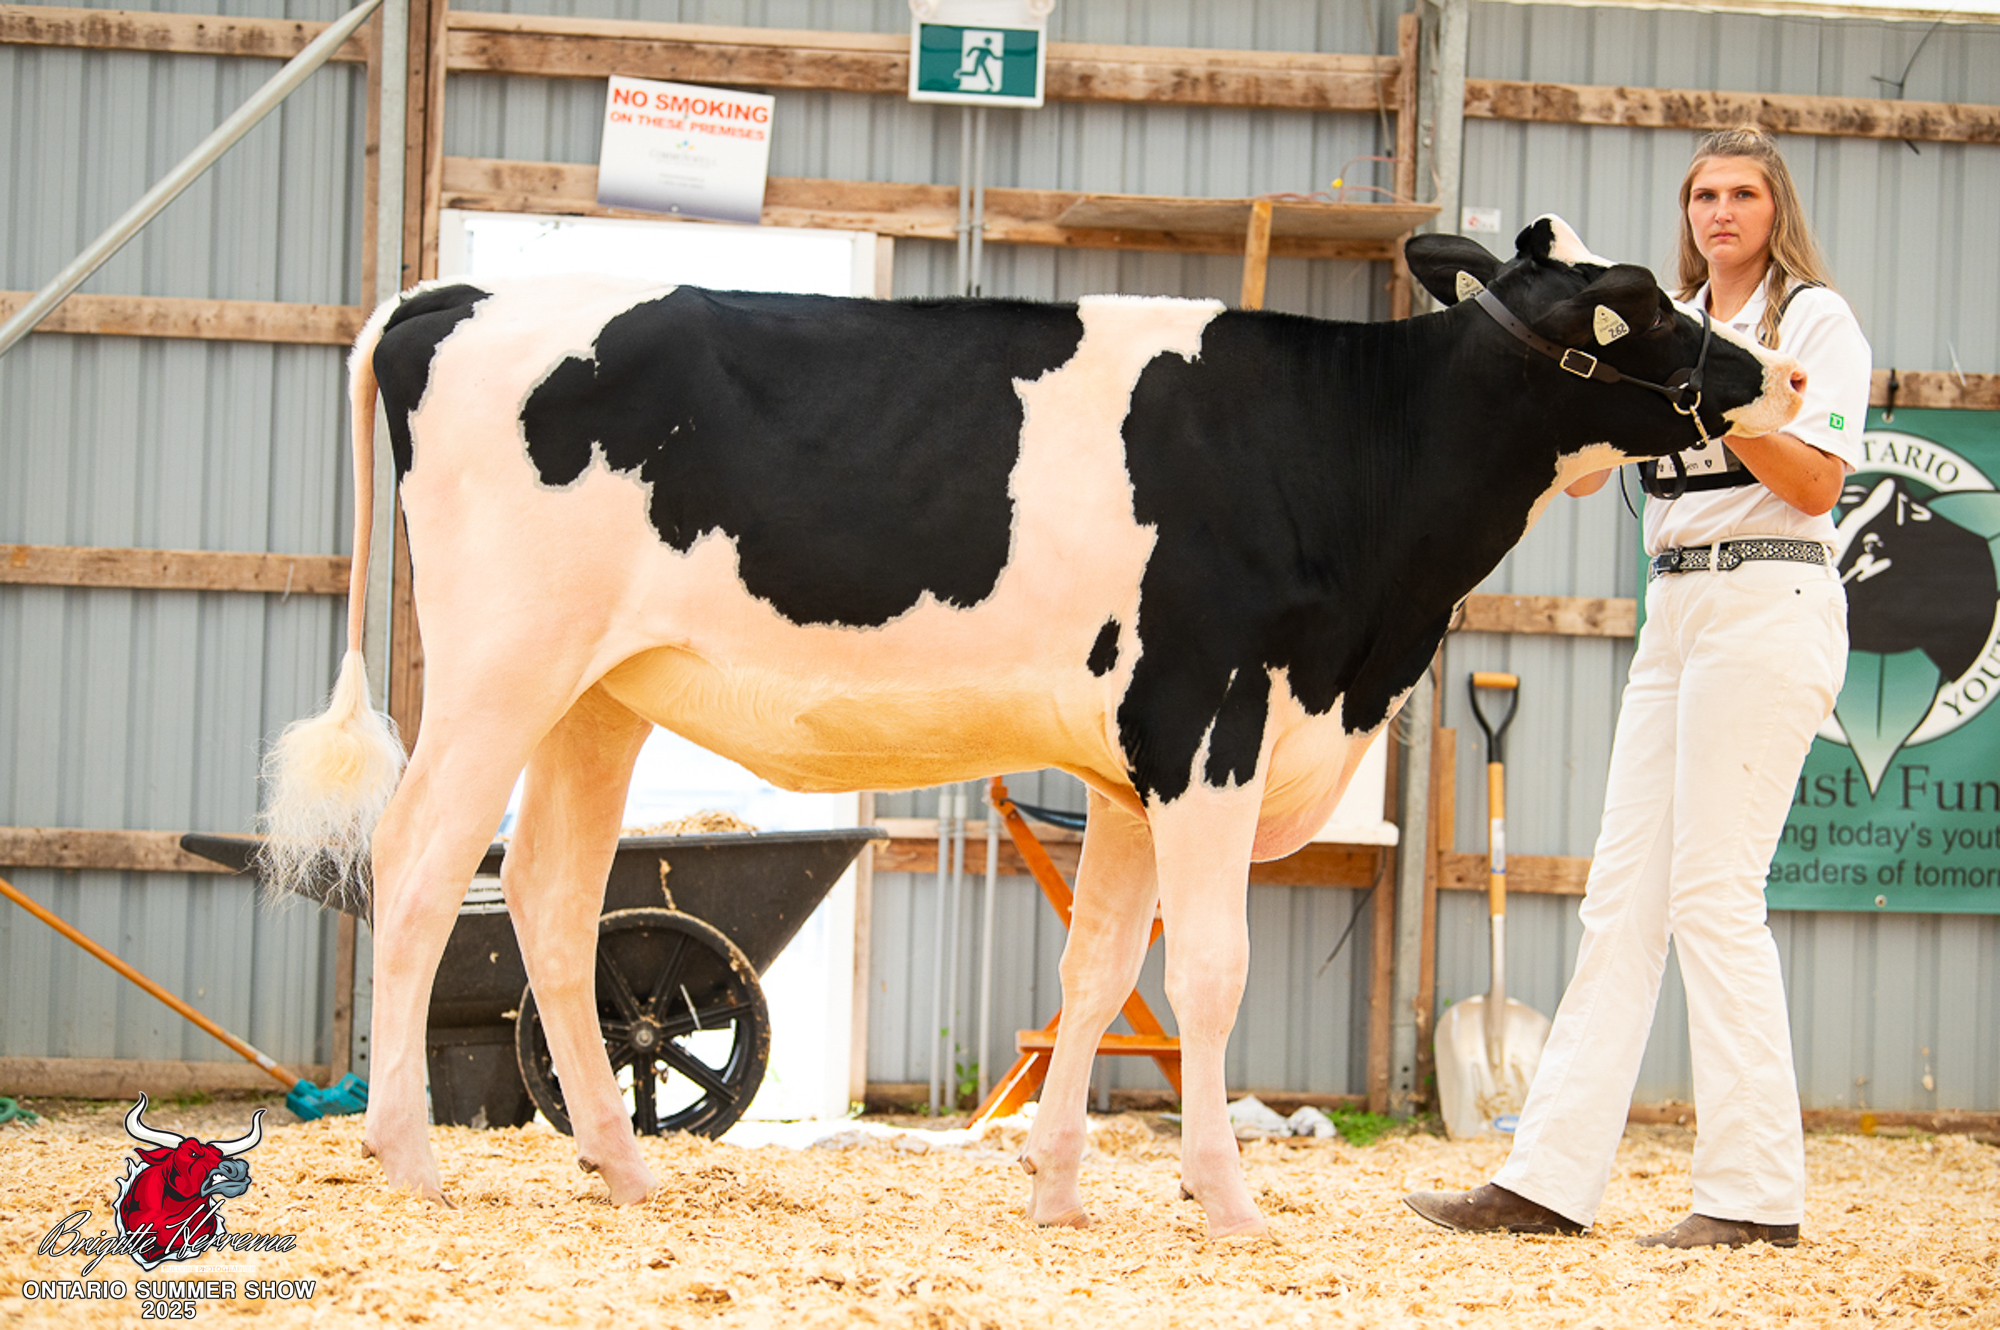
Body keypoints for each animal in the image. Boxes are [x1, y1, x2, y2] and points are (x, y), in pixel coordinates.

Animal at [261, 217, 1803, 1239]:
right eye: (1638, 301)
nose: (1780, 377)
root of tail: (454, 294)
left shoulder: (1128, 769)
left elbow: (1098, 969)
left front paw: (1059, 1183)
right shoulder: (1207, 723)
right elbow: (1212, 974)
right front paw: (1224, 1199)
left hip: (599, 694)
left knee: (547, 891)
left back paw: (621, 1165)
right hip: (498, 669)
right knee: (417, 865)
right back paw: (408, 1156)